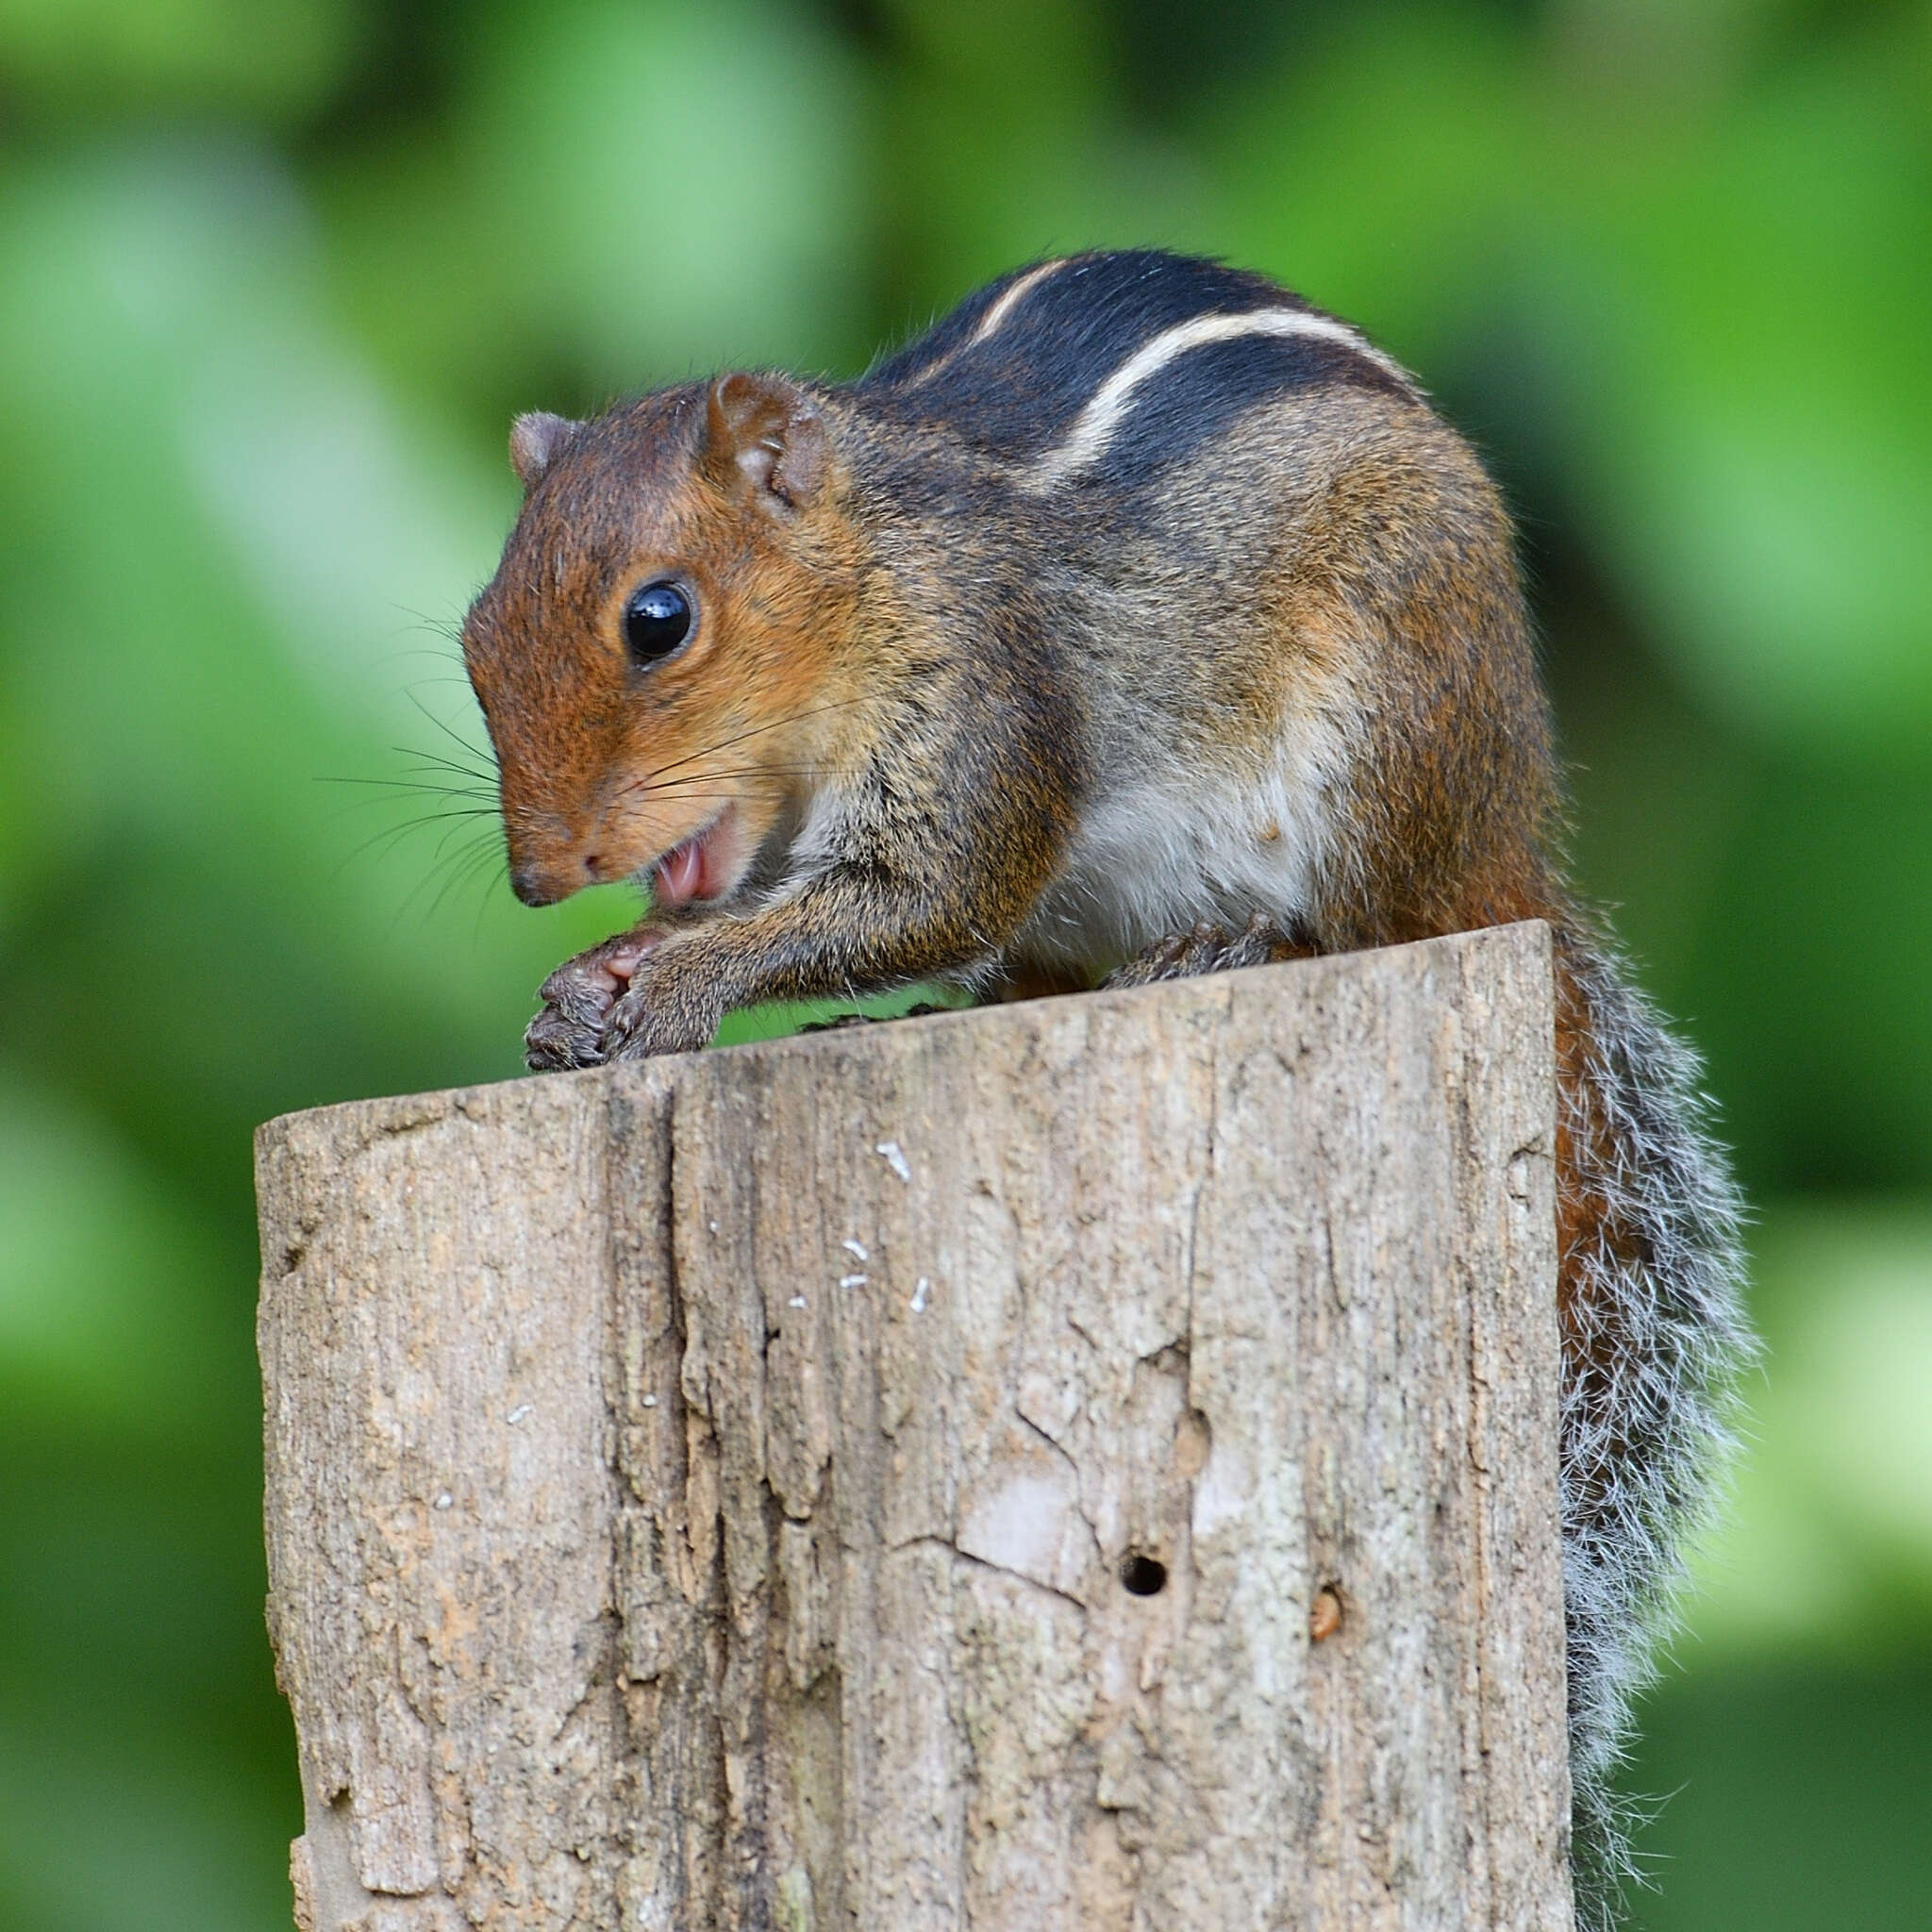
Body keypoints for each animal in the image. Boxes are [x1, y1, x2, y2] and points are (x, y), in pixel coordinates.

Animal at [463, 249, 1754, 1924]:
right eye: (477, 633)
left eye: (659, 620)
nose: (539, 878)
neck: (873, 557)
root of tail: (1512, 852)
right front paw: (598, 990)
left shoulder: (985, 699)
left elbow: (921, 894)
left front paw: (670, 982)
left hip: (1386, 728)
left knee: (1356, 922)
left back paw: (1226, 943)